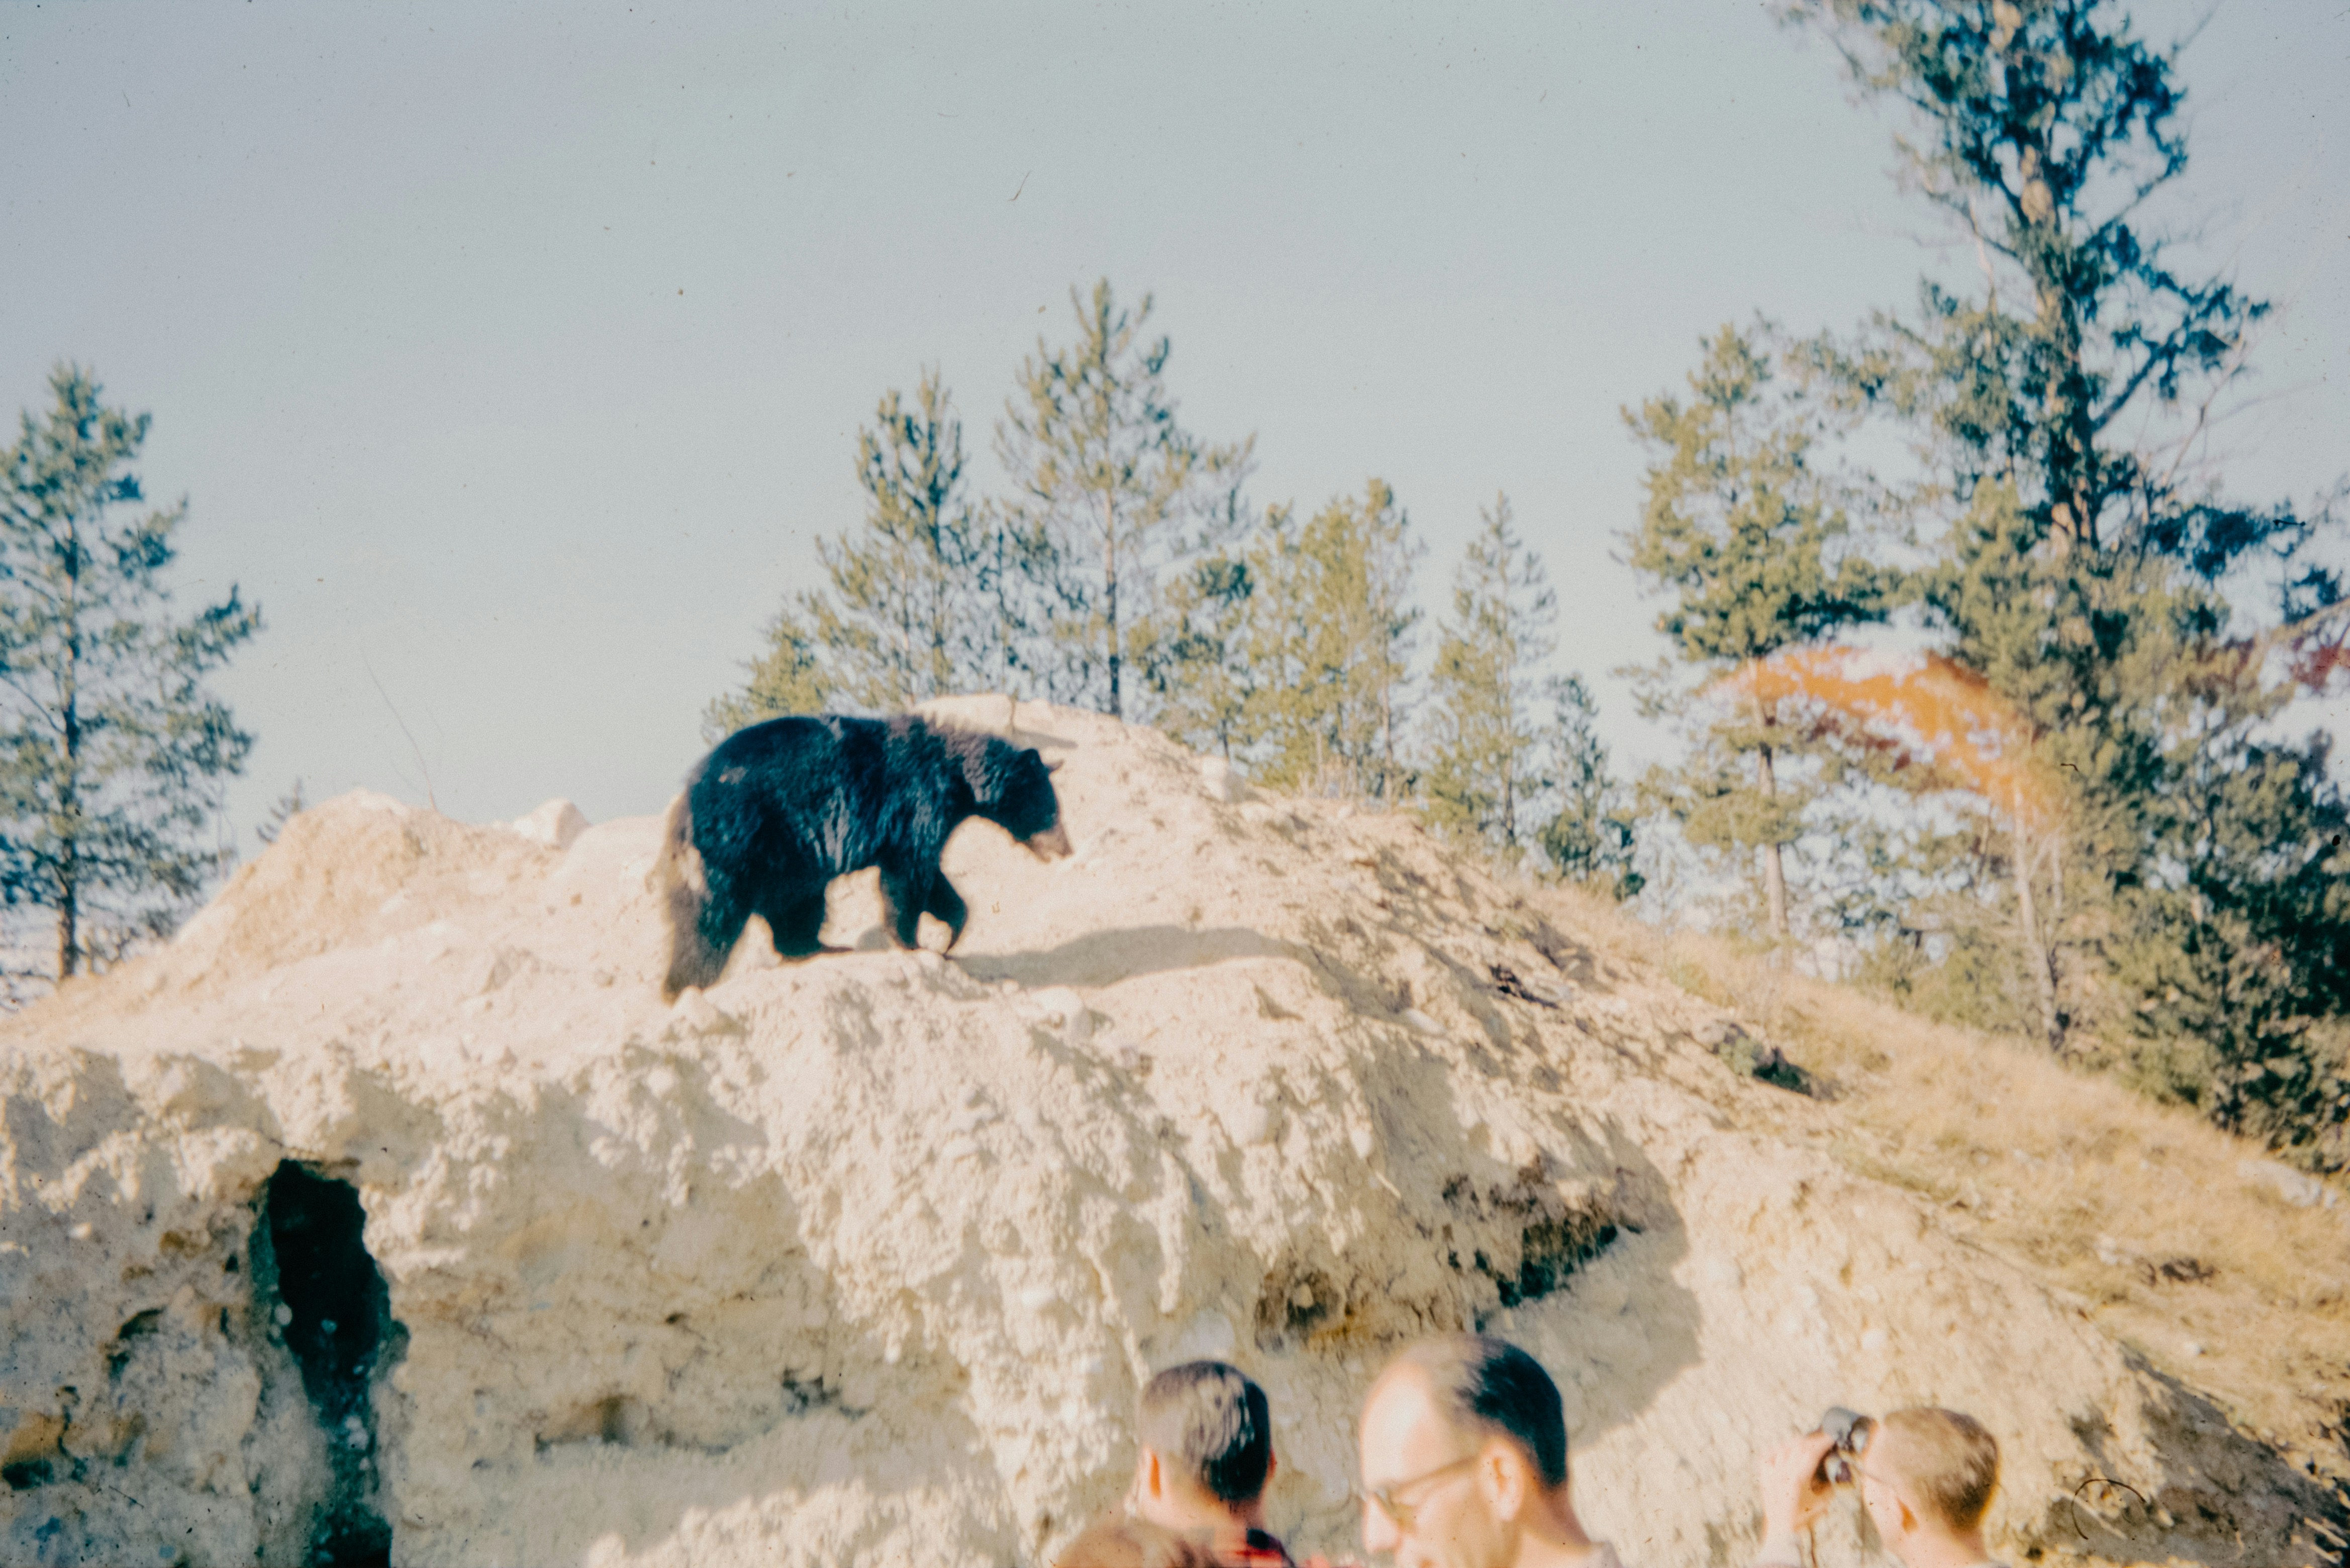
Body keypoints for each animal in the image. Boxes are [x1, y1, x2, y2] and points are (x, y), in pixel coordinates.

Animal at [657, 712, 1071, 1000]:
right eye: (1051, 811)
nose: (1066, 848)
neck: (956, 775)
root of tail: (683, 813)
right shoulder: (917, 805)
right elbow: (908, 878)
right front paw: (914, 943)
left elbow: (935, 882)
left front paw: (950, 935)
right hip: (743, 846)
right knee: (710, 923)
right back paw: (685, 985)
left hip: (789, 866)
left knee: (797, 910)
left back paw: (821, 947)